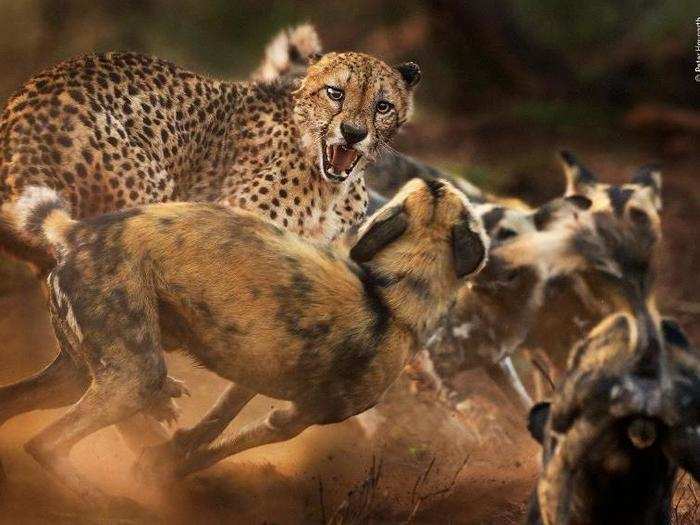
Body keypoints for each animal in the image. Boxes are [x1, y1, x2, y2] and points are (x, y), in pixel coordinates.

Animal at [8, 177, 486, 496]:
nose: (438, 178)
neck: (394, 294)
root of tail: (79, 231)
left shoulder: (255, 374)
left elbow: (213, 424)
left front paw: (170, 450)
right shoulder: (295, 419)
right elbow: (218, 449)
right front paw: (165, 471)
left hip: (77, 377)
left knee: (14, 405)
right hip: (131, 382)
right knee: (43, 444)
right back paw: (102, 498)